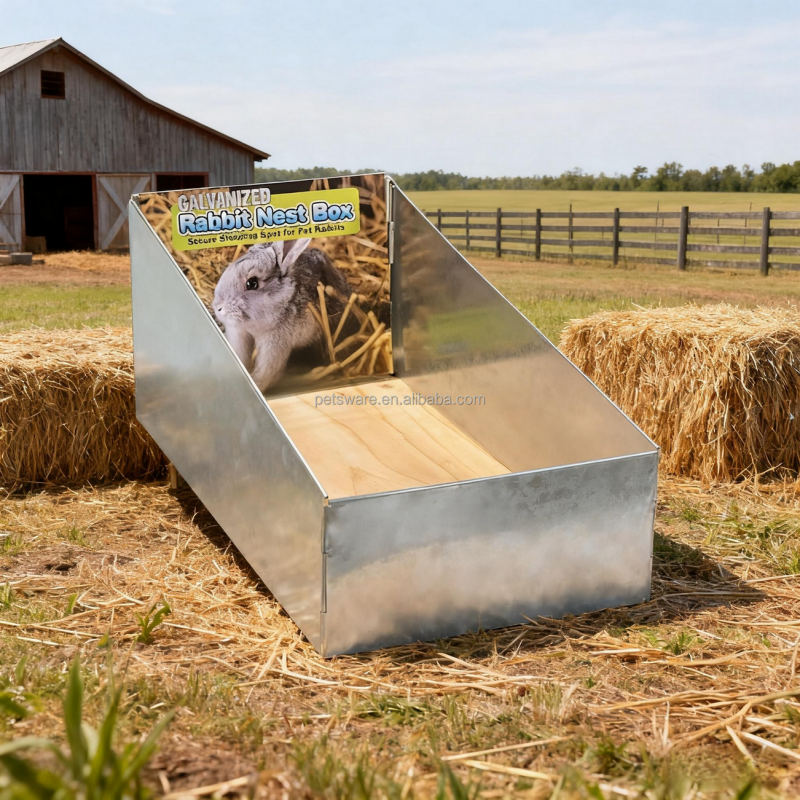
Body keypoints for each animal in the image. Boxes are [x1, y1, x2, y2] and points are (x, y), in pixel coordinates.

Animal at [213, 239, 352, 392]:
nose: (218, 307)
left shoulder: (275, 345)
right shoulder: (239, 334)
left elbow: (267, 371)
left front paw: (257, 384)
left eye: (252, 283)